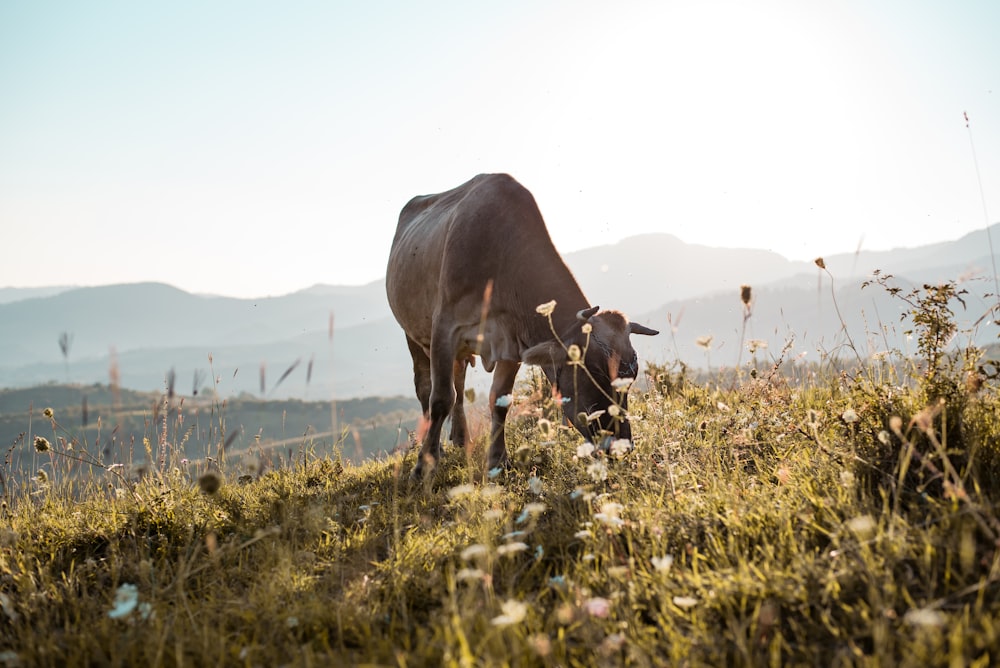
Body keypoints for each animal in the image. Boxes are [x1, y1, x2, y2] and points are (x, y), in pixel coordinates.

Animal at [382, 171, 656, 474]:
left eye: (632, 377)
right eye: (593, 372)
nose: (622, 446)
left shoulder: (510, 340)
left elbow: (500, 401)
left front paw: (498, 461)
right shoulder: (445, 328)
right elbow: (441, 397)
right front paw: (424, 466)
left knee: (459, 383)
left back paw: (461, 439)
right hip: (414, 334)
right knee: (426, 389)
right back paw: (437, 447)